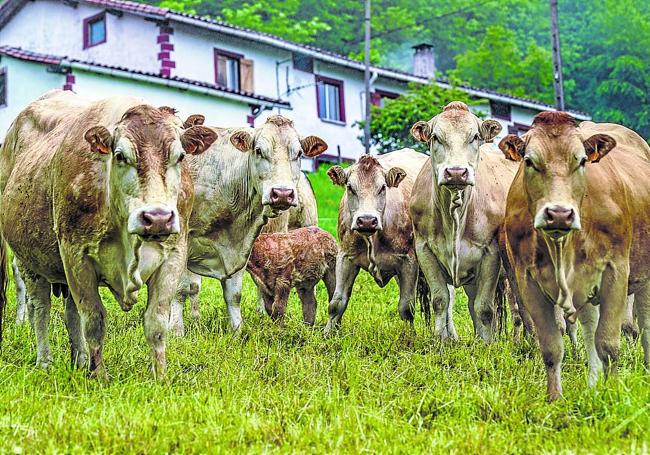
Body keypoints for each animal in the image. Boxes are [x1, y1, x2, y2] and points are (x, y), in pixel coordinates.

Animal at [0, 90, 218, 378]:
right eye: (120, 155)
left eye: (180, 156)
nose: (157, 218)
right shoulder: (76, 255)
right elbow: (94, 320)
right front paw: (99, 377)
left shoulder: (173, 256)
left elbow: (157, 323)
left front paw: (160, 377)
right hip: (29, 261)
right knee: (41, 309)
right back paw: (45, 361)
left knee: (70, 312)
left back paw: (80, 360)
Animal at [173, 116, 324, 334]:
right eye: (259, 150)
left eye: (299, 153)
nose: (282, 193)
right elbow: (183, 288)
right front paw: (177, 331)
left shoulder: (242, 245)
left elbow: (234, 295)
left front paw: (237, 331)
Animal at [322, 150, 426, 332]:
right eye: (350, 187)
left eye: (383, 187)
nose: (367, 220)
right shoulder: (345, 258)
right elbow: (336, 303)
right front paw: (328, 334)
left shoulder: (409, 261)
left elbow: (407, 307)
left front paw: (410, 336)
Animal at [410, 100, 512, 342]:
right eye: (435, 137)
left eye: (474, 136)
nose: (456, 172)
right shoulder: (424, 249)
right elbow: (441, 301)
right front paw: (440, 341)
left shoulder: (491, 254)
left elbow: (484, 308)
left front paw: (486, 345)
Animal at [496, 112, 648, 400]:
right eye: (529, 161)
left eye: (581, 161)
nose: (559, 214)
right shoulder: (527, 280)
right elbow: (551, 348)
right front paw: (554, 398)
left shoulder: (615, 272)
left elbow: (608, 344)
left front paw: (612, 393)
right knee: (590, 329)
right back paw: (593, 383)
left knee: (644, 325)